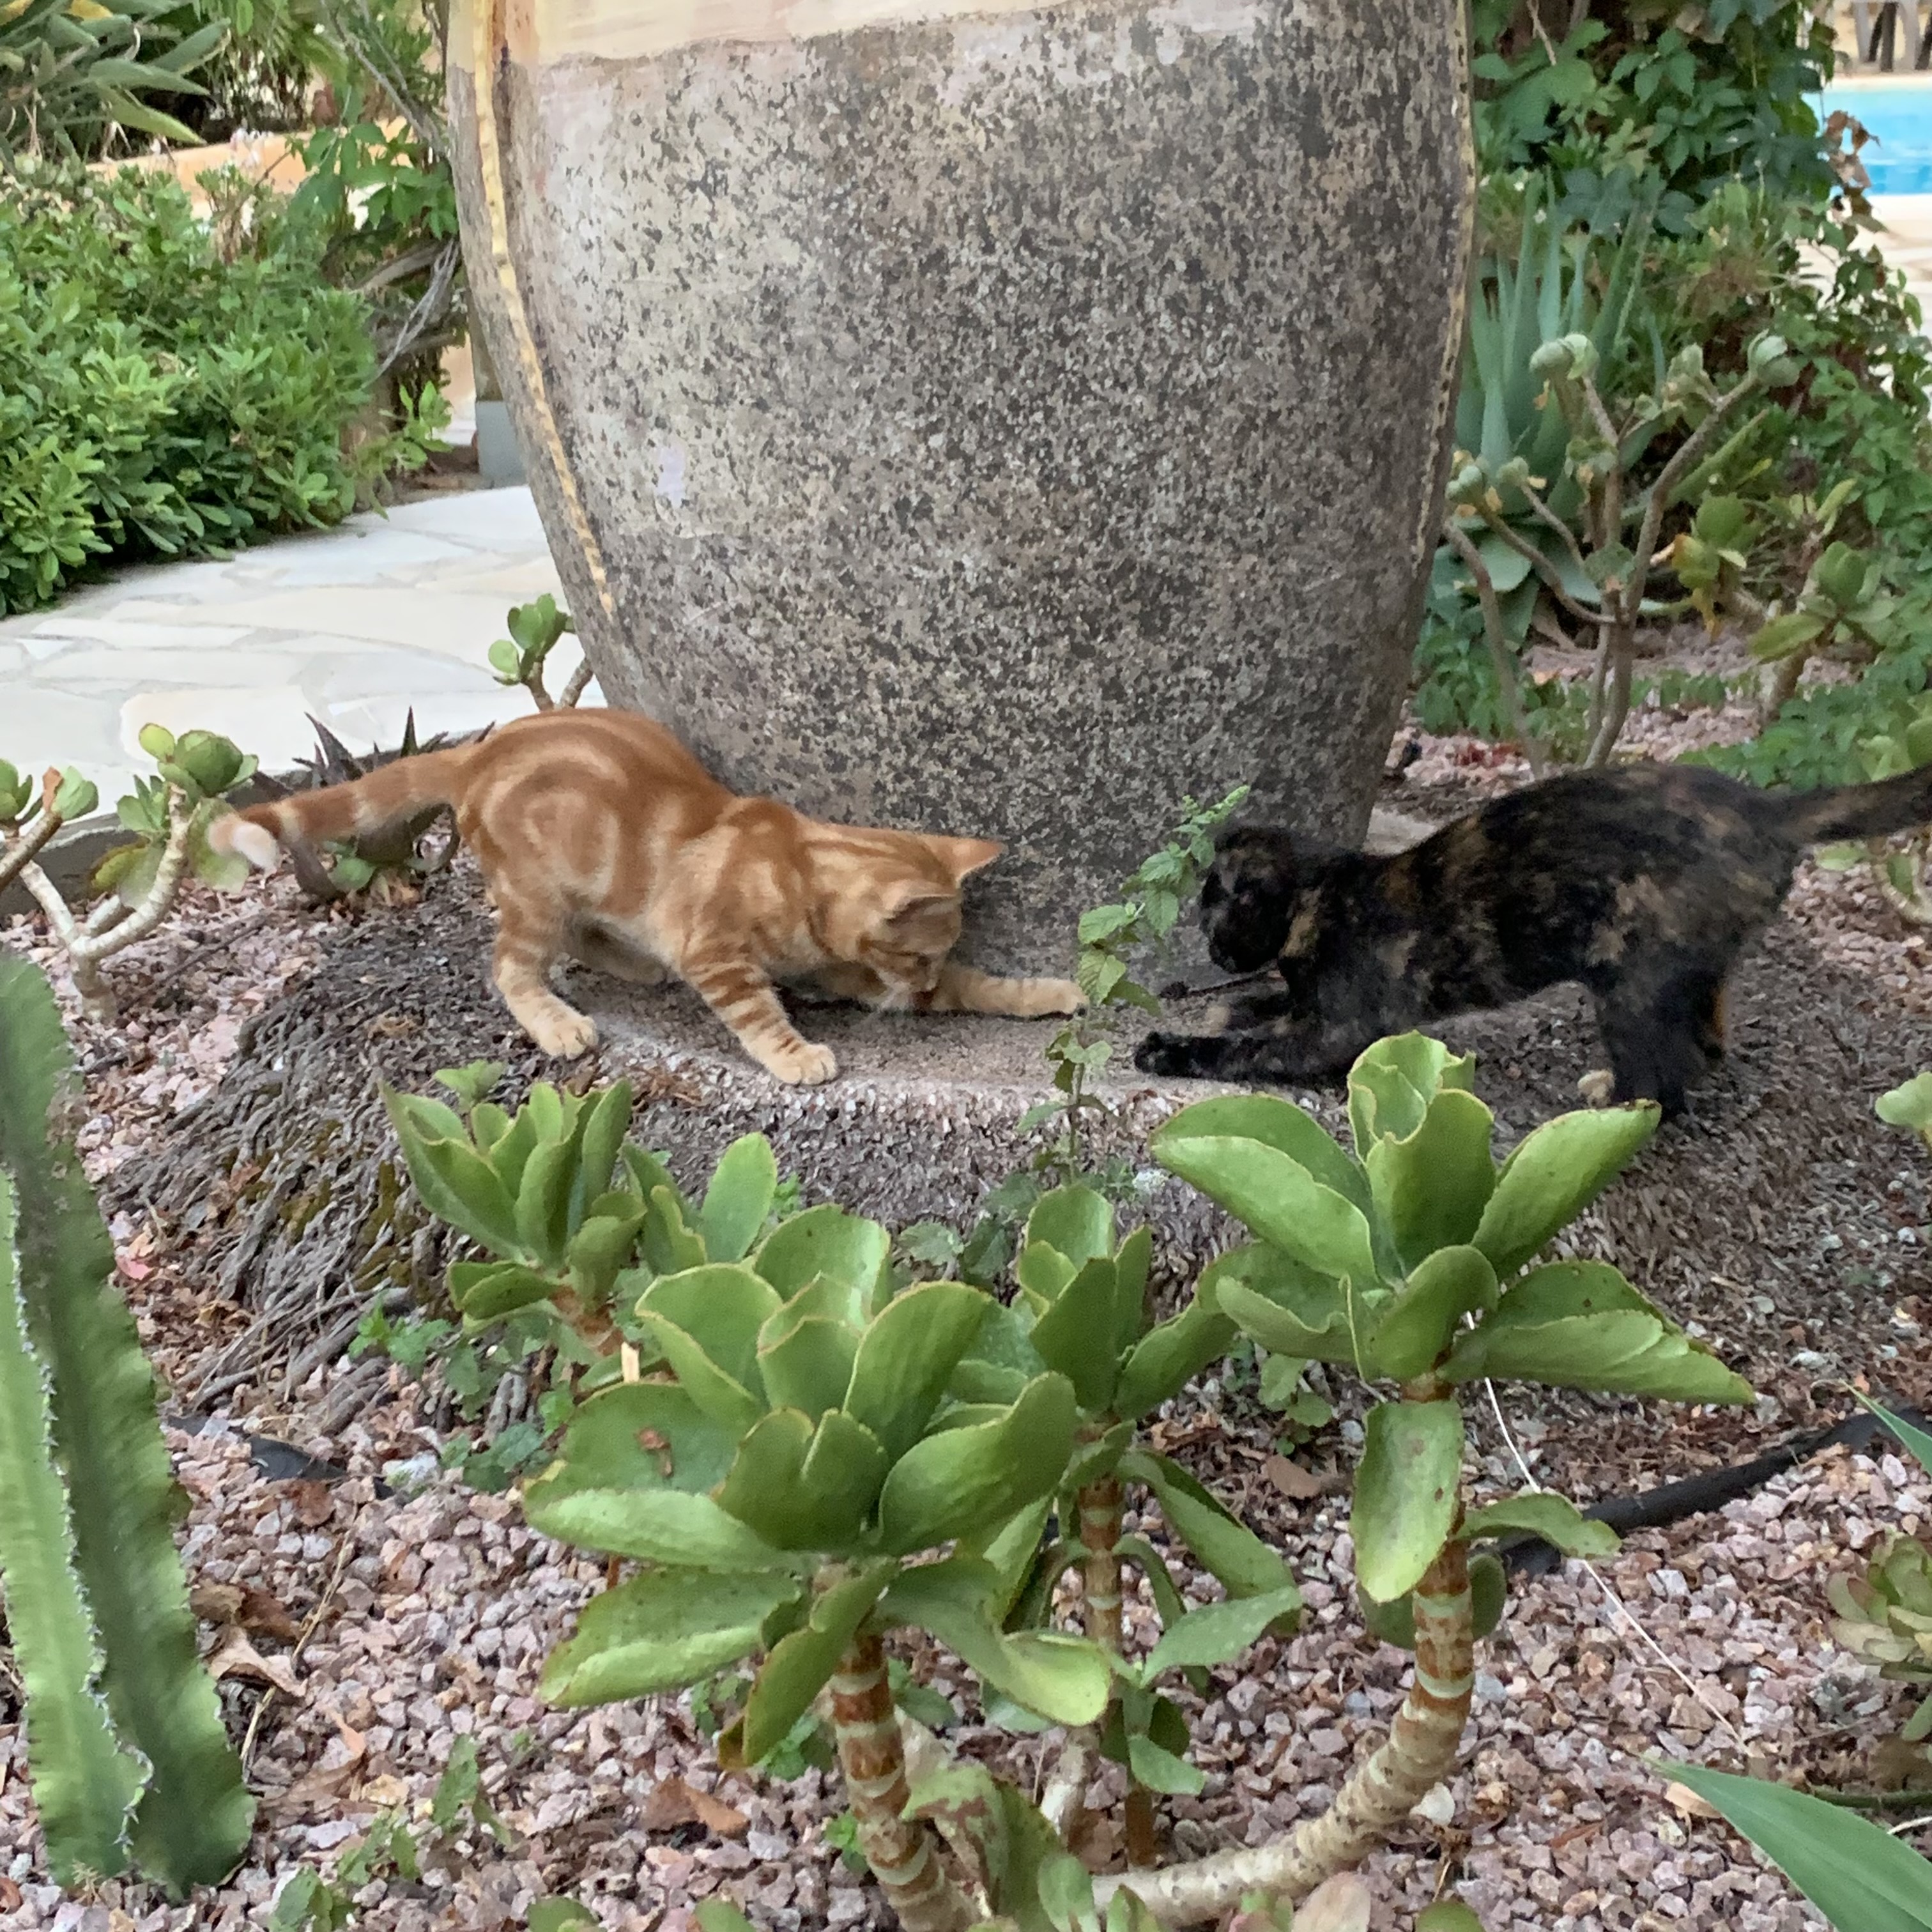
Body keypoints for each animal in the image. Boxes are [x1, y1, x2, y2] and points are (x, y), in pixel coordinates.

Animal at [210, 708, 1082, 1083]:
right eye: (919, 955)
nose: (924, 981)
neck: (795, 863)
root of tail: (477, 752)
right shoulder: (722, 955)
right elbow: (758, 1013)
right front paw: (795, 1055)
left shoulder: (844, 969)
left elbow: (985, 987)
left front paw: (1047, 991)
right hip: (536, 894)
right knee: (513, 965)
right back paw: (559, 1024)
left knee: (583, 935)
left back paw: (635, 966)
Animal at [1134, 759, 1932, 1117]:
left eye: (1211, 912)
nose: (1212, 953)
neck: (1320, 893)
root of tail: (1767, 808)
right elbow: (1263, 1006)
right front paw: (1234, 1003)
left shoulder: (1335, 1031)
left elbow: (1244, 1050)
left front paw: (1172, 1047)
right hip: (1690, 969)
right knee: (1705, 1047)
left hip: (1627, 974)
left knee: (1661, 1092)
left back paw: (1605, 1110)